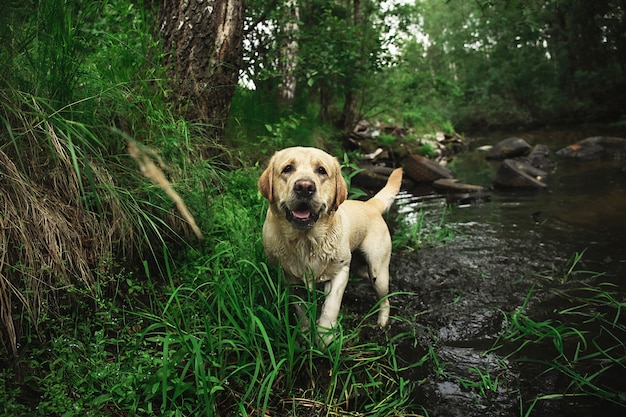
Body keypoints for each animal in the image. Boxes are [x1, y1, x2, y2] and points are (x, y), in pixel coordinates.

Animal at [258, 146, 400, 344]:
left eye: (321, 170)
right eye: (287, 169)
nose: (304, 187)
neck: (306, 242)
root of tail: (370, 204)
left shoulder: (339, 273)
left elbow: (330, 308)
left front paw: (324, 338)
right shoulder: (292, 281)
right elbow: (301, 311)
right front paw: (305, 335)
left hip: (377, 271)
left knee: (384, 299)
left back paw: (382, 321)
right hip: (359, 267)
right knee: (365, 275)